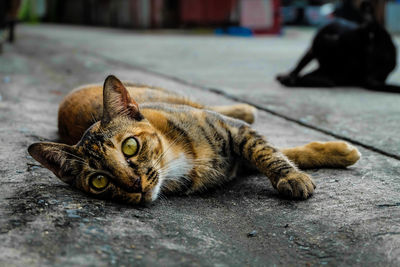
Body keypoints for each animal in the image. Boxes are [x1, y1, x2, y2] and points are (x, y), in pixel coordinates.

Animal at [26, 75, 360, 205]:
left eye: (130, 146)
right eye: (99, 181)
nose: (135, 185)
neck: (182, 162)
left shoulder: (236, 132)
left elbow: (270, 152)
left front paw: (295, 174)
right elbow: (281, 150)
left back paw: (244, 107)